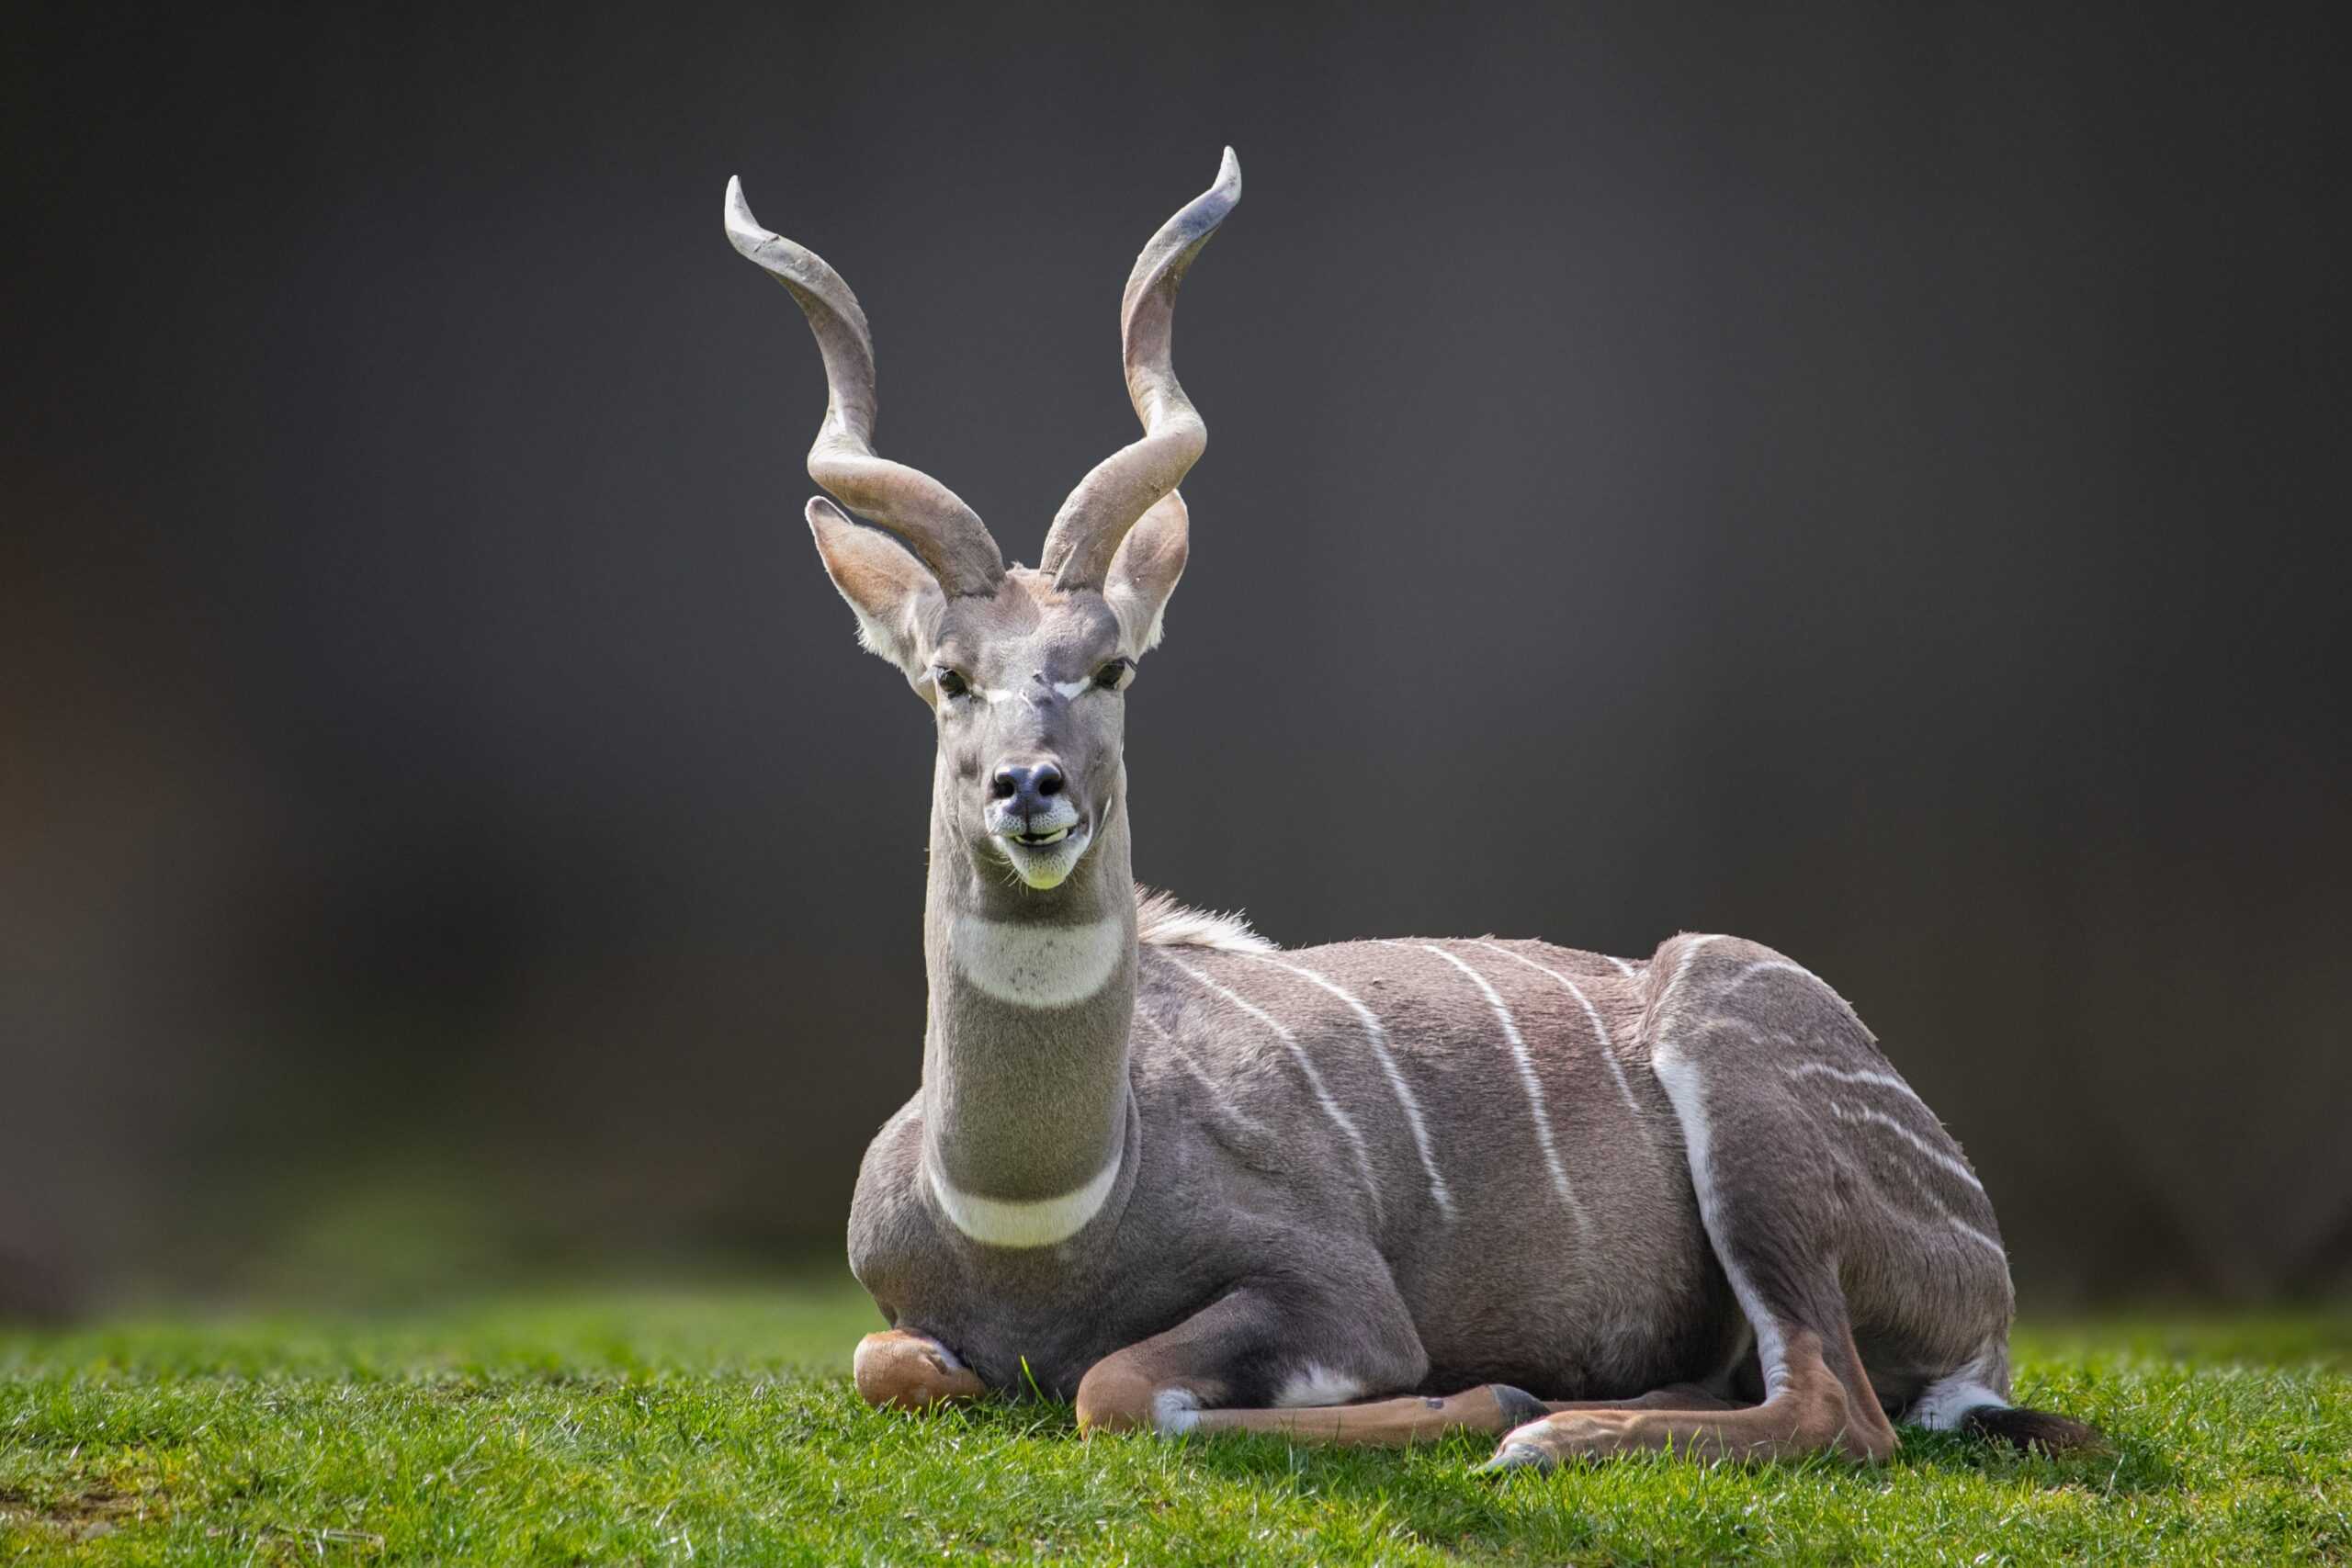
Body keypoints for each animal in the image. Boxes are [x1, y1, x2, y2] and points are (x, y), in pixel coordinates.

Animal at [715, 150, 2098, 1476]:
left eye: (1111, 666)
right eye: (950, 677)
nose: (1030, 788)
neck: (1041, 1212)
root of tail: (1987, 1296)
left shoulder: (1342, 1296)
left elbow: (1117, 1389)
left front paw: (1480, 1397)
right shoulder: (903, 1323)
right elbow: (895, 1365)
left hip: (1744, 1080)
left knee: (1839, 1409)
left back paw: (1547, 1429)